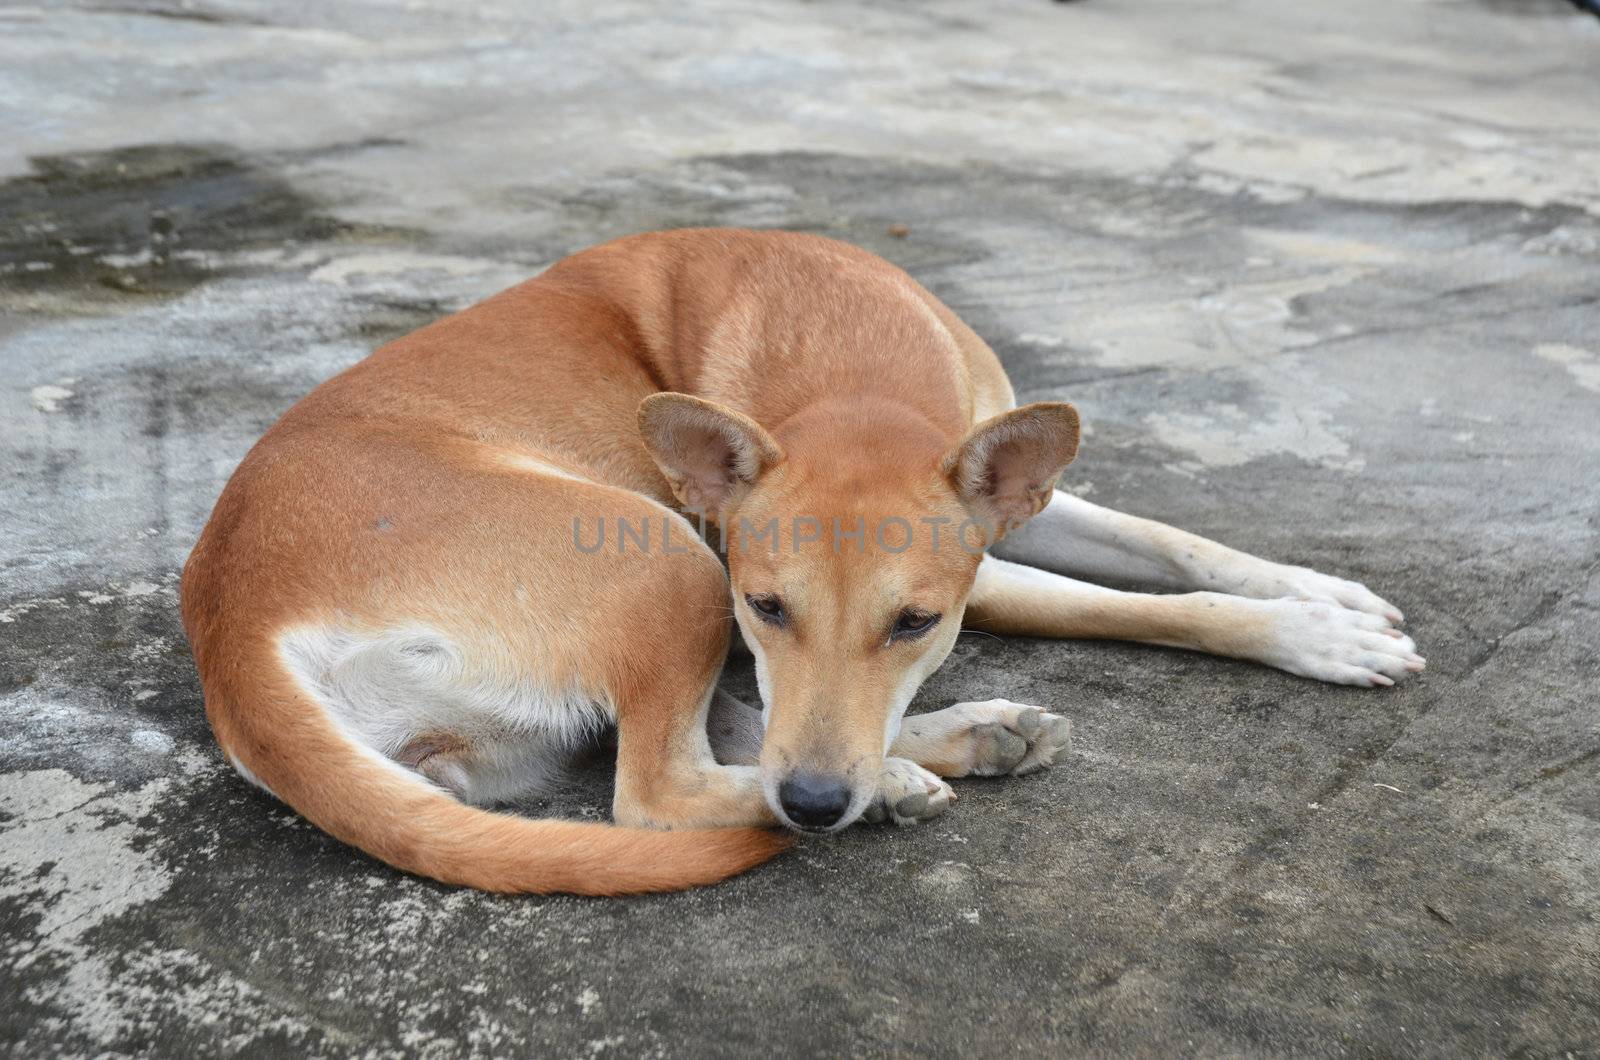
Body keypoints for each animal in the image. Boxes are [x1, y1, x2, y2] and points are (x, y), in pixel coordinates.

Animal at [181, 232, 1420, 896]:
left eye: (911, 625)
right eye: (766, 604)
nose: (819, 804)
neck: (857, 377)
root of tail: (232, 619)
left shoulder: (1014, 501)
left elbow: (1176, 544)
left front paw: (1319, 595)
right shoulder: (962, 571)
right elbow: (1131, 608)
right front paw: (1308, 636)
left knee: (736, 740)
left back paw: (936, 752)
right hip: (662, 556)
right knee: (662, 791)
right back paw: (895, 781)